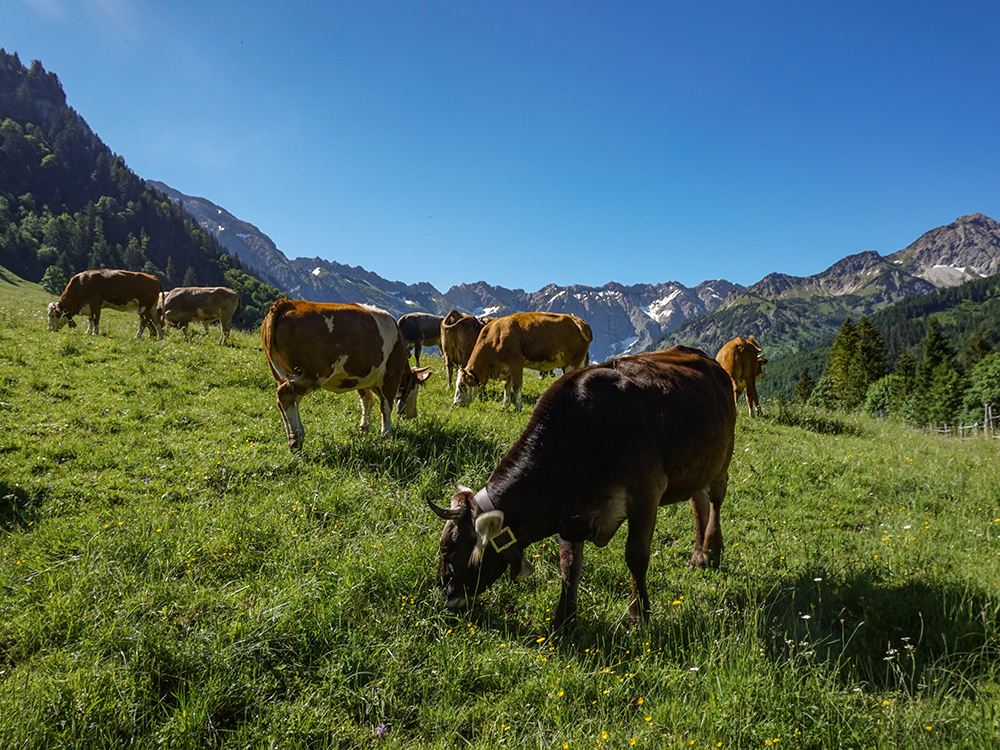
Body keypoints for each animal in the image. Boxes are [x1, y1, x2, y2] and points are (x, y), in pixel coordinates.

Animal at [262, 298, 430, 452]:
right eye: (416, 389)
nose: (413, 414)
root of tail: (287, 303)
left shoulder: (360, 378)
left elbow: (368, 402)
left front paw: (364, 428)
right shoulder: (391, 377)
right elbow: (386, 406)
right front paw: (387, 433)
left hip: (282, 375)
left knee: (285, 401)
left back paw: (294, 438)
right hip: (312, 374)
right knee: (286, 396)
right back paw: (297, 439)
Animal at [426, 346, 740, 628]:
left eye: (449, 548)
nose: (444, 594)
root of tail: (705, 357)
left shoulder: (646, 493)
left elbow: (636, 556)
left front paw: (639, 616)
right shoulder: (569, 513)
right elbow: (569, 565)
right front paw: (563, 620)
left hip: (723, 460)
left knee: (715, 501)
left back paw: (713, 551)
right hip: (696, 466)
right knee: (697, 501)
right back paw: (699, 556)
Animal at [456, 314, 592, 414]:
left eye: (462, 385)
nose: (455, 404)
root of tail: (577, 319)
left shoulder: (516, 362)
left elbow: (516, 386)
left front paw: (518, 408)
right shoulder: (505, 369)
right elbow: (506, 386)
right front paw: (505, 407)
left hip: (572, 363)